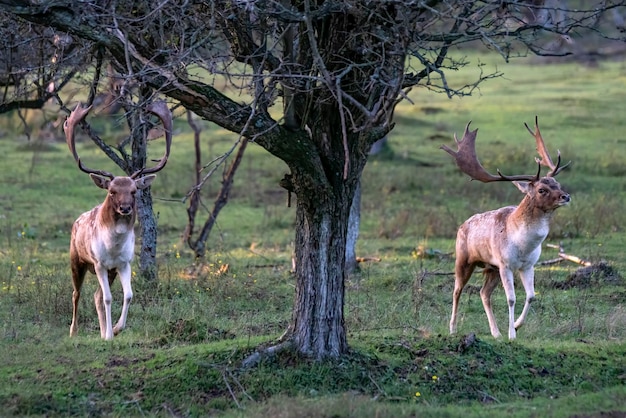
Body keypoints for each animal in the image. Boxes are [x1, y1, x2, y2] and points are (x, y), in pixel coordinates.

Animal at [64, 101, 171, 340]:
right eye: (112, 191)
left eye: (133, 191)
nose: (125, 208)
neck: (113, 247)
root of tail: (76, 221)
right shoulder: (99, 263)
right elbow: (108, 298)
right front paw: (110, 334)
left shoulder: (123, 263)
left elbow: (128, 295)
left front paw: (114, 329)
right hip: (77, 259)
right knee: (77, 293)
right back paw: (73, 331)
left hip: (109, 271)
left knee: (95, 295)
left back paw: (104, 331)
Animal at [438, 116, 572, 340]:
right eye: (542, 190)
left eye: (557, 183)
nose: (566, 196)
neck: (523, 245)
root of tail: (461, 225)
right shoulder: (505, 264)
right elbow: (511, 298)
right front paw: (512, 335)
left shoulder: (528, 265)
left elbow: (531, 296)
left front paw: (516, 326)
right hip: (463, 259)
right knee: (457, 291)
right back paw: (453, 328)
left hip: (491, 267)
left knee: (484, 293)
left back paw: (495, 332)